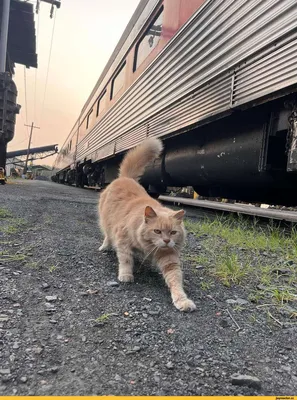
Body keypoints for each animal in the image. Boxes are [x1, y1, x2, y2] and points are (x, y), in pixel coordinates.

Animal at [98, 138, 195, 312]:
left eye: (173, 232)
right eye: (157, 231)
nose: (166, 241)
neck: (147, 246)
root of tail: (126, 177)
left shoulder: (169, 258)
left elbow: (175, 279)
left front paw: (182, 300)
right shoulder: (122, 240)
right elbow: (125, 259)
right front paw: (126, 275)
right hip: (106, 222)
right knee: (107, 236)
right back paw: (105, 247)